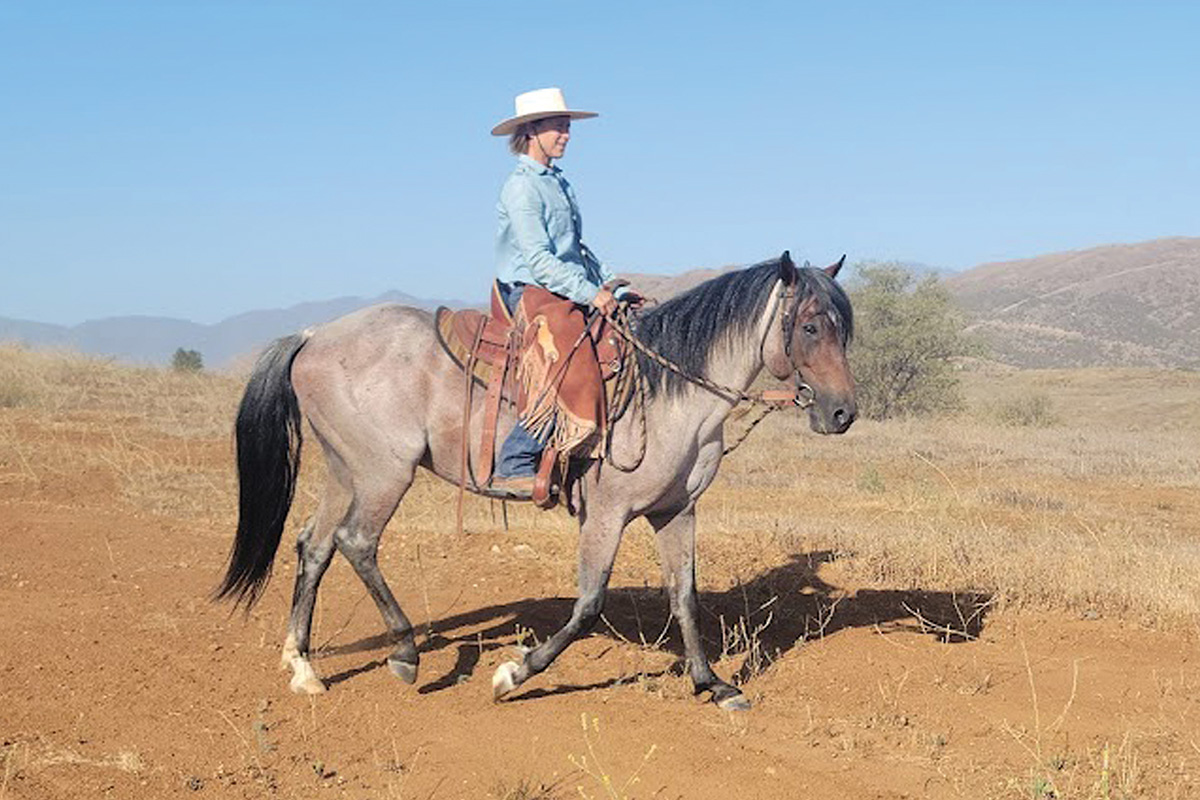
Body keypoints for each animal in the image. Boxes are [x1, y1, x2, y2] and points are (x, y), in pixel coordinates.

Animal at [216, 251, 854, 714]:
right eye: (809, 325)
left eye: (843, 329)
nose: (843, 413)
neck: (668, 389)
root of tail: (312, 335)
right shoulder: (606, 515)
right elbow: (589, 605)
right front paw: (513, 673)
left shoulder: (676, 511)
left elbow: (685, 597)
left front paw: (711, 684)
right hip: (382, 473)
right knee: (356, 543)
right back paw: (405, 653)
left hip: (344, 470)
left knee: (315, 546)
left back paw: (303, 666)